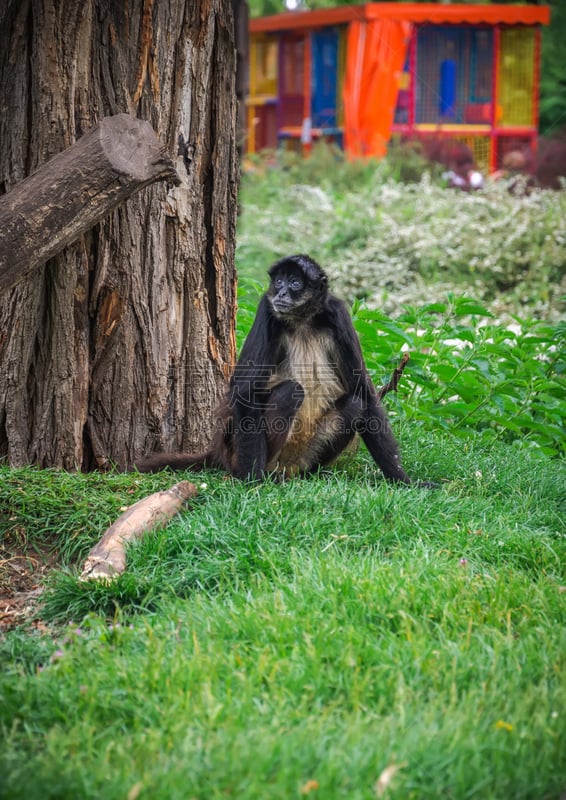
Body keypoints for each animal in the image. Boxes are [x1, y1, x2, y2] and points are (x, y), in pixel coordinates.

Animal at [137, 255, 412, 482]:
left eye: (295, 283)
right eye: (279, 282)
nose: (281, 295)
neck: (302, 320)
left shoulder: (338, 314)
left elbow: (364, 392)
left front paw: (403, 480)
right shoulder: (266, 309)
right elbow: (245, 390)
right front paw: (252, 481)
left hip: (307, 453)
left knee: (355, 403)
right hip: (240, 449)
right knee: (291, 391)